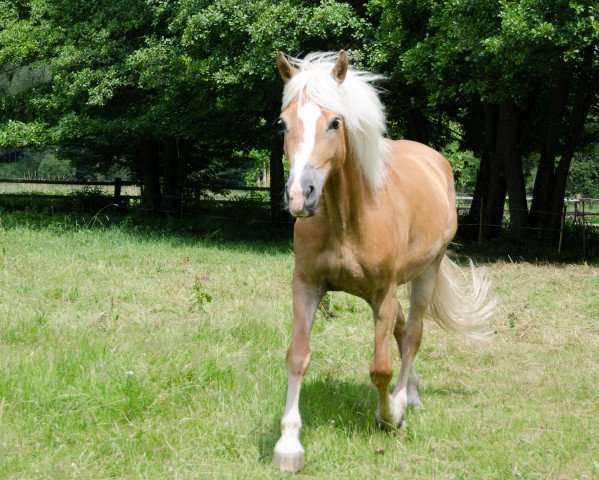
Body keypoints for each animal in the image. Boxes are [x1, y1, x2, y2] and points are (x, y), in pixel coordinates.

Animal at [274, 49, 496, 472]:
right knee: (401, 327)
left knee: (412, 335)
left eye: (334, 122)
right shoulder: (306, 286)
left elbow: (380, 368)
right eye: (284, 123)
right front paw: (288, 444)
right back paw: (413, 392)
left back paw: (406, 400)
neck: (347, 218)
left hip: (425, 272)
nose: (299, 196)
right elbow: (296, 356)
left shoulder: (385, 290)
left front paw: (391, 415)